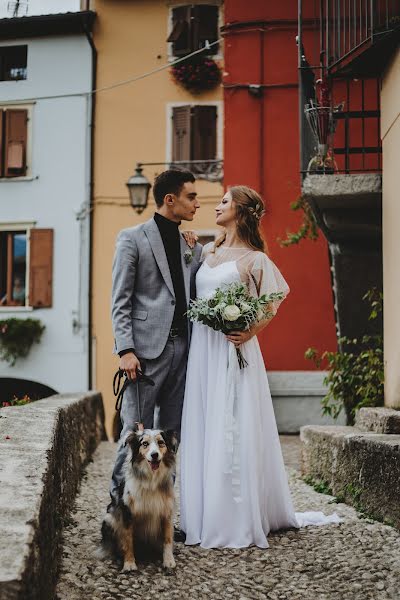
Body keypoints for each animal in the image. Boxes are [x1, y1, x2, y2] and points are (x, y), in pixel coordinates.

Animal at [97, 426, 177, 572]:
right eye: (145, 443)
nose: (154, 455)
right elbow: (128, 540)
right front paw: (129, 563)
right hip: (110, 518)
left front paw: (168, 560)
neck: (151, 480)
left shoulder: (166, 513)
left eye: (161, 442)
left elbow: (167, 538)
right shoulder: (127, 513)